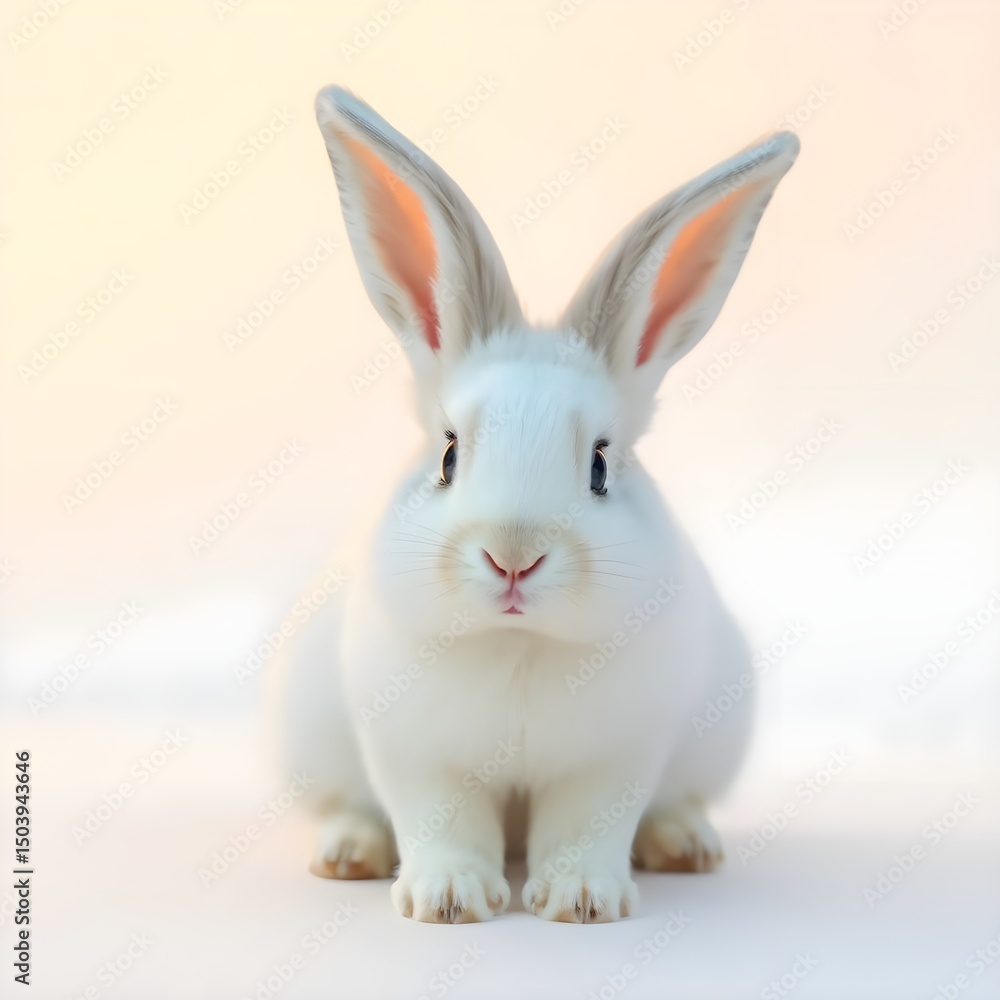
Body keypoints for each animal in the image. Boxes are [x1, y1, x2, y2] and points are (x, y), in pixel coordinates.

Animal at [284, 85, 799, 923]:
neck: (519, 642)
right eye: (448, 454)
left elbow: (588, 826)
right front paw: (449, 900)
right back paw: (348, 854)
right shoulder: (415, 754)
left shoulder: (614, 759)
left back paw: (686, 845)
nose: (514, 557)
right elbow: (442, 823)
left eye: (600, 465)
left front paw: (581, 901)